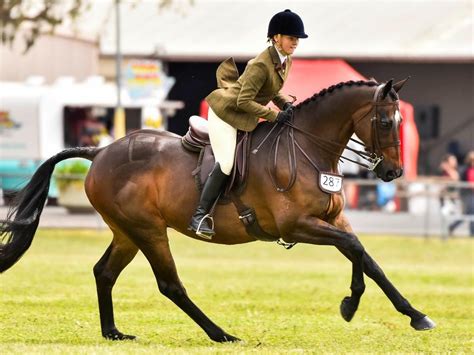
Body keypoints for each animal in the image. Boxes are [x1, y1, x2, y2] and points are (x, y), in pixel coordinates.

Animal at [0, 79, 436, 344]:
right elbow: (355, 249)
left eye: (401, 120)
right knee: (170, 285)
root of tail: (100, 151)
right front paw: (356, 305)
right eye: (385, 121)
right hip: (148, 230)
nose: (393, 172)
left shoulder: (331, 220)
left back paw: (113, 332)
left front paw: (410, 313)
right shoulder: (297, 226)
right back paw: (221, 334)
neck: (309, 149)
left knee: (104, 272)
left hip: (127, 232)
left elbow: (366, 257)